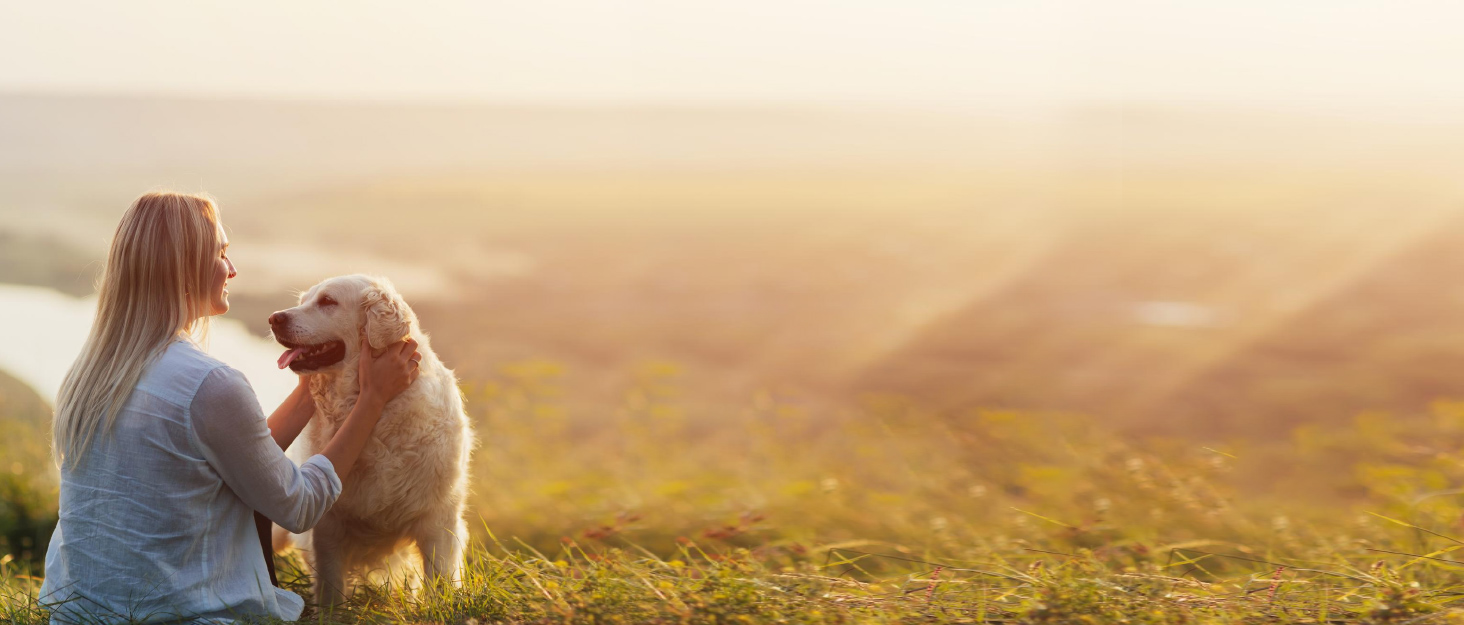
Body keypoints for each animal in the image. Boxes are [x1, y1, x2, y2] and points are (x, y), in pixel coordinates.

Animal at [269, 275, 474, 605]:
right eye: (303, 300)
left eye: (327, 301)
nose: (274, 318)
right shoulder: (328, 525)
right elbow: (330, 586)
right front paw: (332, 612)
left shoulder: (437, 518)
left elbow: (439, 580)